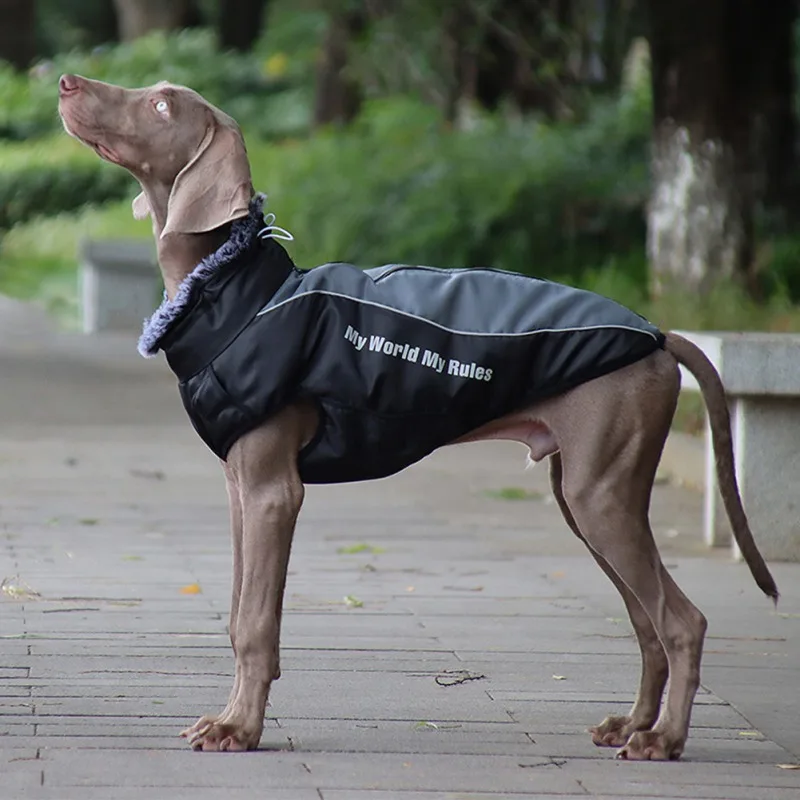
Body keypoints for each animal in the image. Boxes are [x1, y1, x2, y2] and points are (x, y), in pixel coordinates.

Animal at [59, 75, 780, 764]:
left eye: (161, 106)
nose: (66, 82)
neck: (234, 290)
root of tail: (658, 335)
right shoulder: (240, 489)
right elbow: (239, 615)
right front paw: (232, 718)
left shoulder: (272, 492)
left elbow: (257, 624)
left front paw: (240, 728)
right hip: (588, 497)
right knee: (646, 620)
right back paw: (632, 725)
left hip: (600, 495)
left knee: (681, 620)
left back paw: (664, 740)